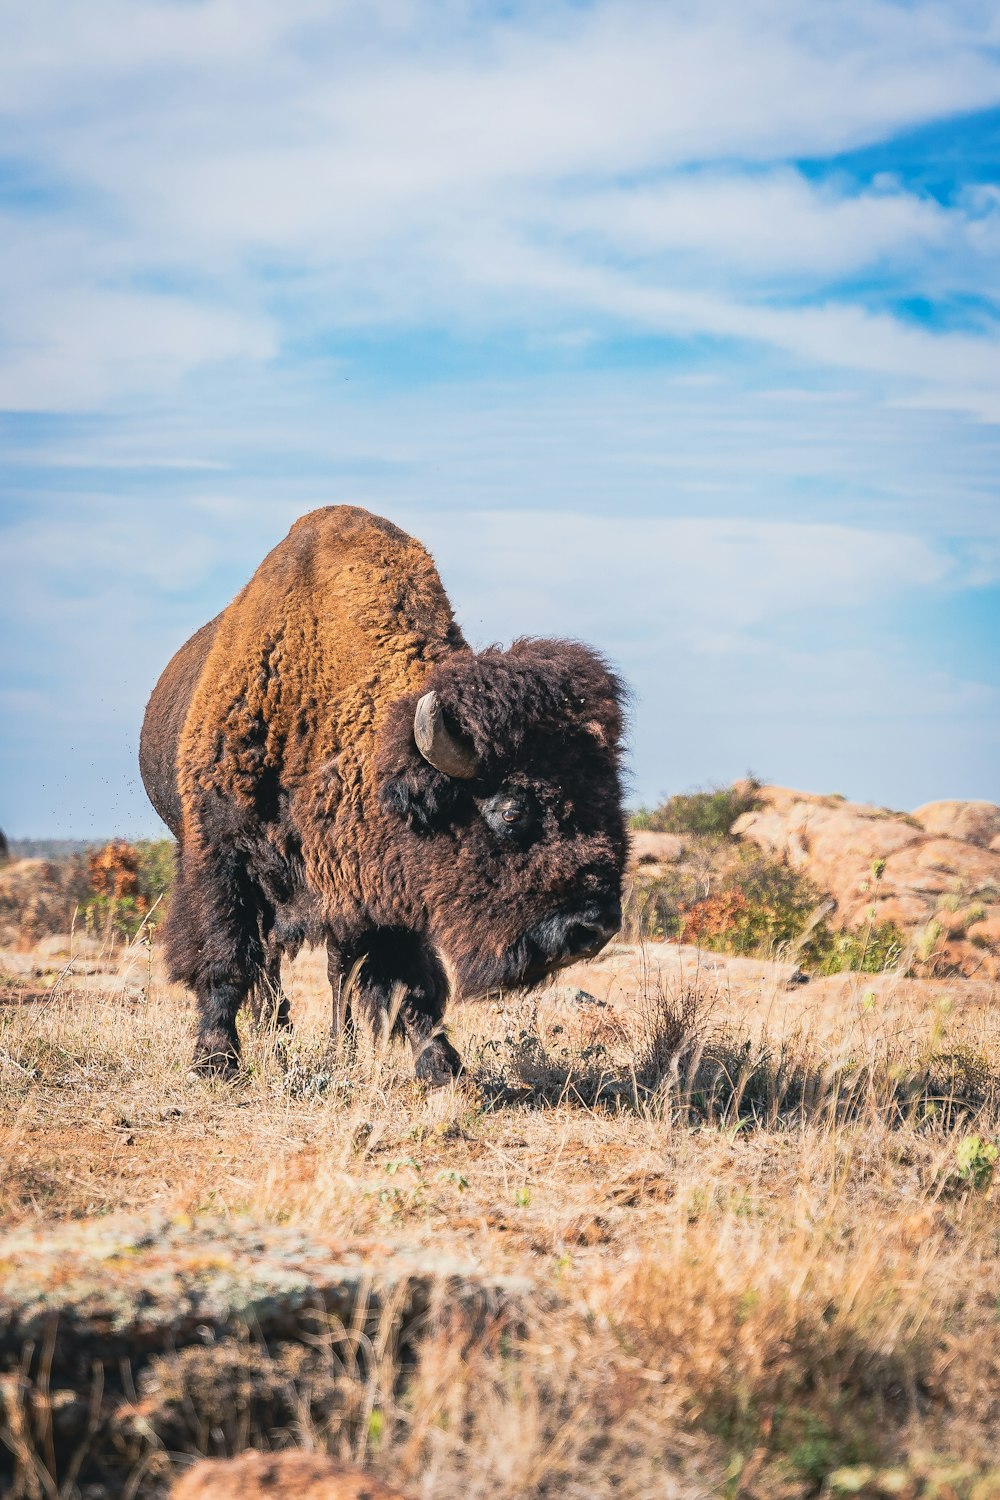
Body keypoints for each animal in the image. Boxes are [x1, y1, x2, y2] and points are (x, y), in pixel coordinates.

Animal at [140, 510, 626, 1086]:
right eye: (512, 811)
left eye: (611, 800)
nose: (594, 927)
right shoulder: (220, 855)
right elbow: (224, 956)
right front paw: (215, 1059)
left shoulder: (384, 886)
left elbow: (407, 979)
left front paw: (441, 1065)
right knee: (268, 962)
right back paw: (272, 1032)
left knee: (334, 971)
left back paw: (335, 1042)